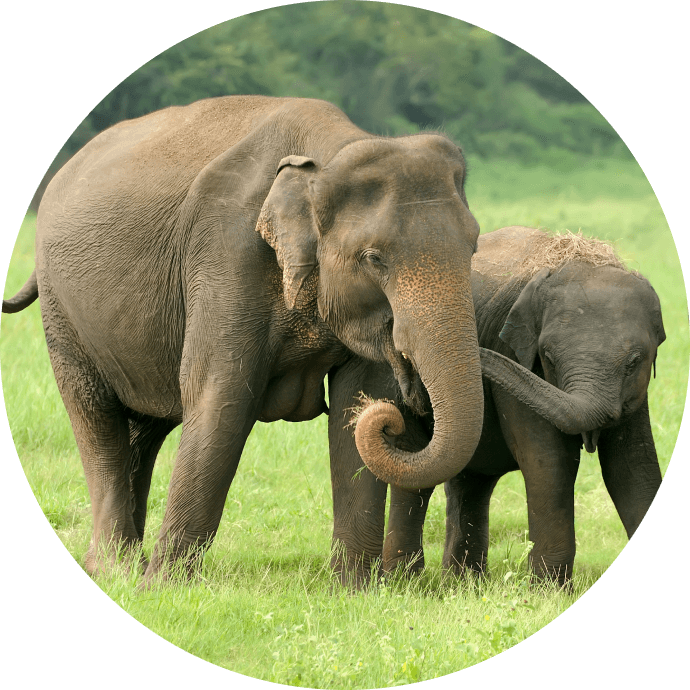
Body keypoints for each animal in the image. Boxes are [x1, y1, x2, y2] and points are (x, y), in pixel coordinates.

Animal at [328, 226, 664, 585]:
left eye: (634, 361)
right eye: (548, 357)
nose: (406, 355)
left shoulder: (636, 396)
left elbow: (630, 467)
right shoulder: (518, 364)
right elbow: (549, 463)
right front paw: (549, 591)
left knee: (469, 481)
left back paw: (463, 584)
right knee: (417, 471)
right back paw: (408, 583)